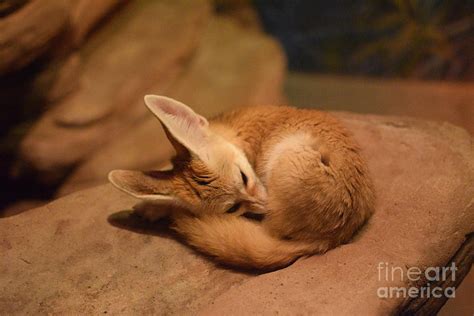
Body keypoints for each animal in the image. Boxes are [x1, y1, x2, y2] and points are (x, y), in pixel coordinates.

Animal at [107, 95, 374, 270]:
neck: (235, 130)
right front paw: (151, 206)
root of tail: (332, 238)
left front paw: (156, 207)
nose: (265, 204)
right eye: (233, 208)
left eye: (245, 177)